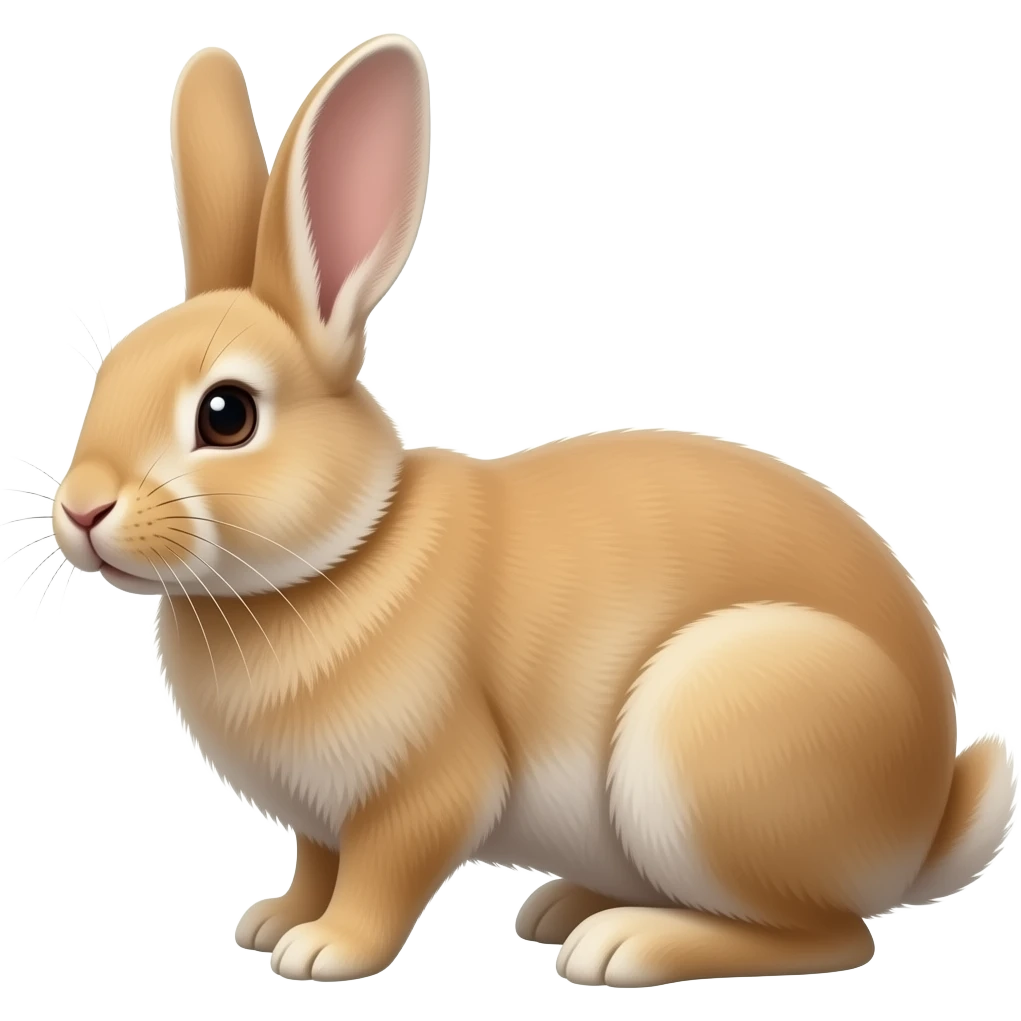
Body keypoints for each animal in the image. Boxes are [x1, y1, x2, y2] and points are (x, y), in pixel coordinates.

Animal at [52, 35, 1017, 988]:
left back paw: (623, 943)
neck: (344, 554)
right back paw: (564, 907)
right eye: (106, 374)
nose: (81, 510)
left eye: (227, 415)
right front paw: (274, 920)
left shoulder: (425, 788)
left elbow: (381, 875)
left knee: (833, 935)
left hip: (707, 742)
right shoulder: (317, 819)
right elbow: (316, 863)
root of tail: (921, 821)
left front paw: (325, 950)